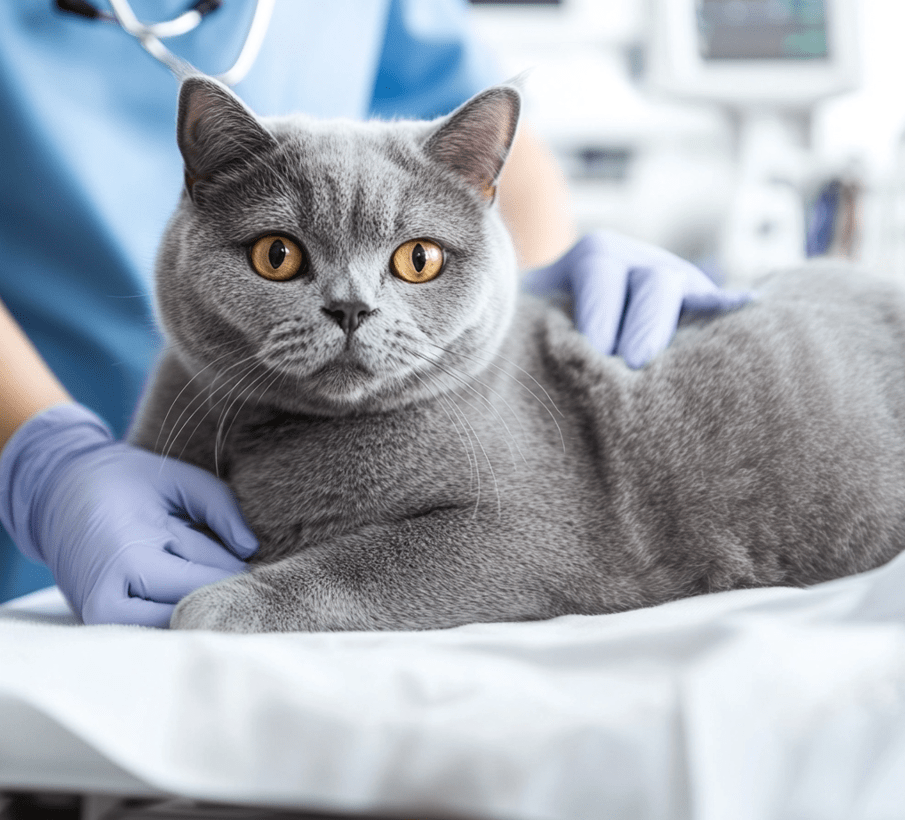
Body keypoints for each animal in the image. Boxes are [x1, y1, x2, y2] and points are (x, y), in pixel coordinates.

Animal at [129, 77, 905, 632]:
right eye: (277, 255)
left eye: (417, 259)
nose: (350, 308)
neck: (278, 438)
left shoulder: (530, 532)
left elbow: (359, 561)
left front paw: (219, 602)